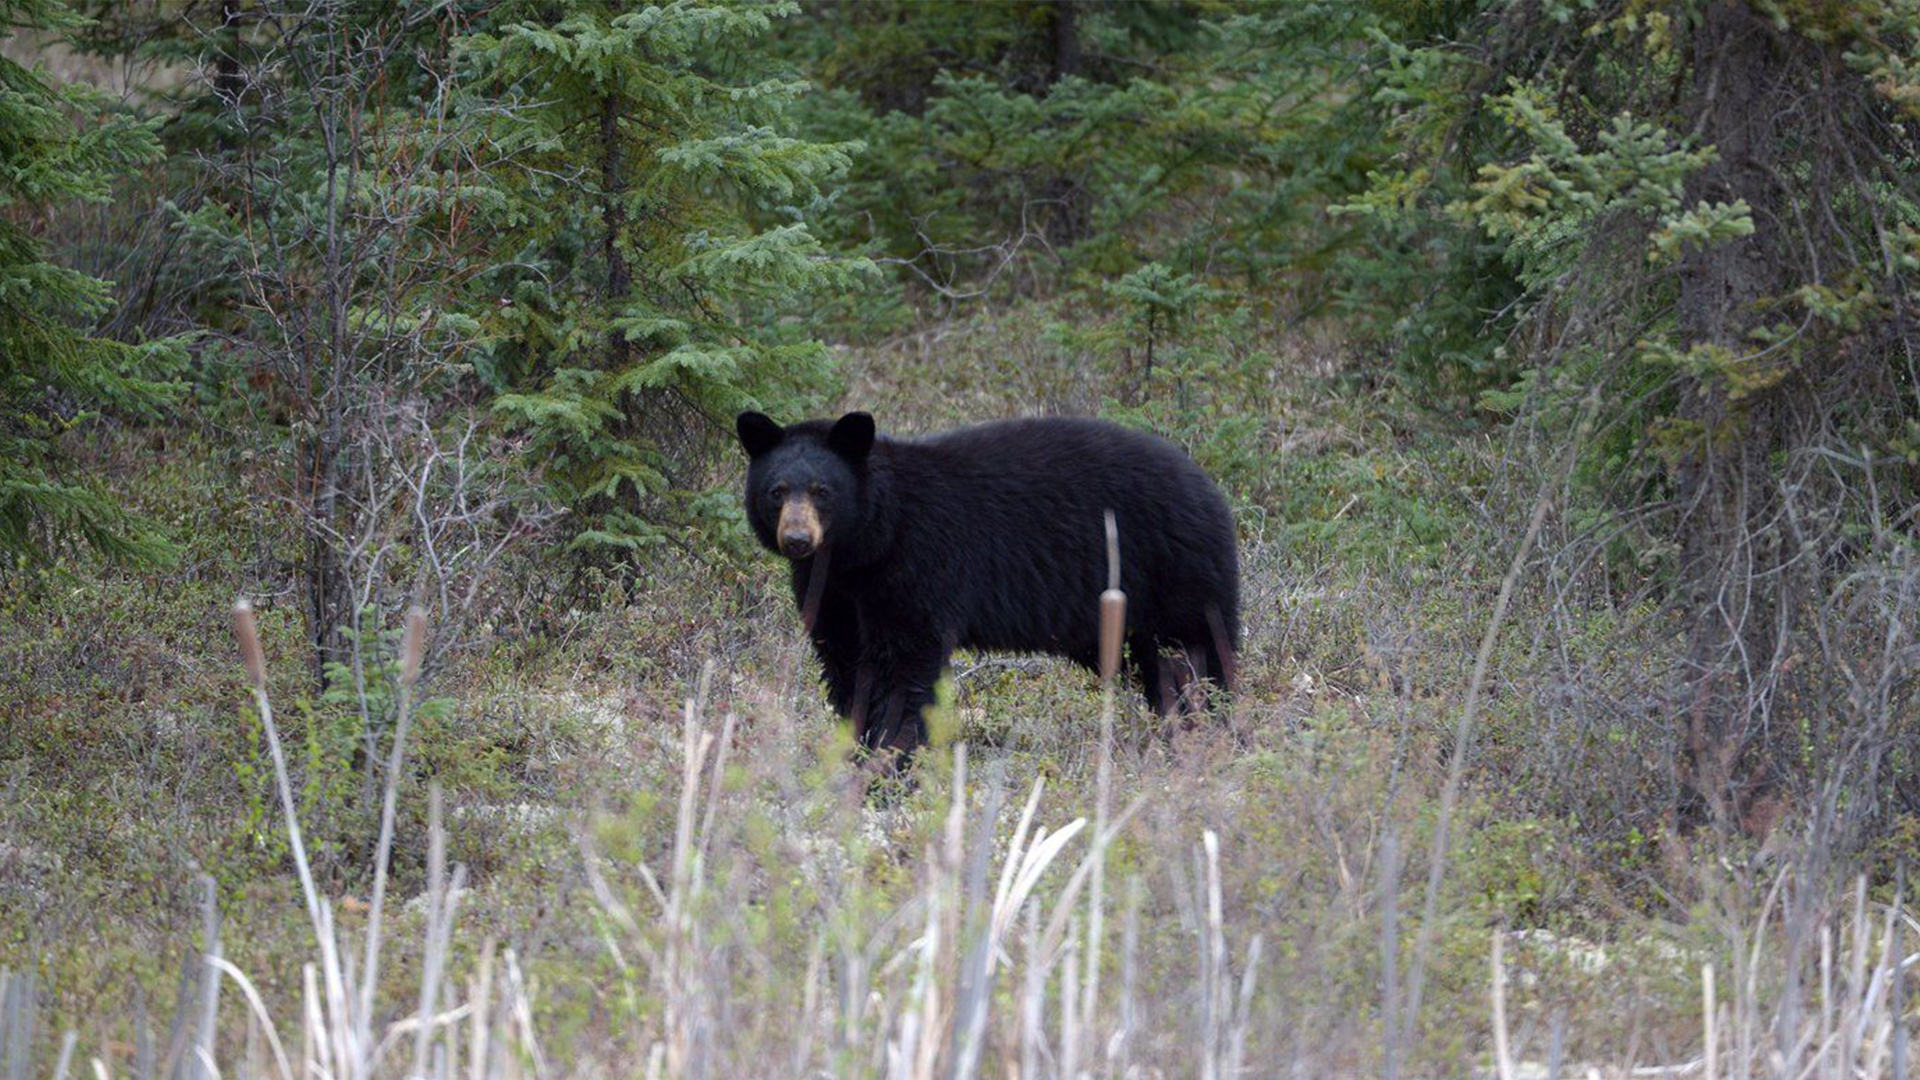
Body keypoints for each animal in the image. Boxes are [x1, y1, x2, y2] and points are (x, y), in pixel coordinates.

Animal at [733, 407, 1244, 753]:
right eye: (777, 491)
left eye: (823, 491)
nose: (798, 539)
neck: (868, 543)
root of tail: (1208, 485)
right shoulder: (833, 590)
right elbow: (843, 662)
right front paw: (854, 750)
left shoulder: (916, 566)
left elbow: (905, 665)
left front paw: (891, 759)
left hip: (1175, 574)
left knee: (1199, 656)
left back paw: (1211, 730)